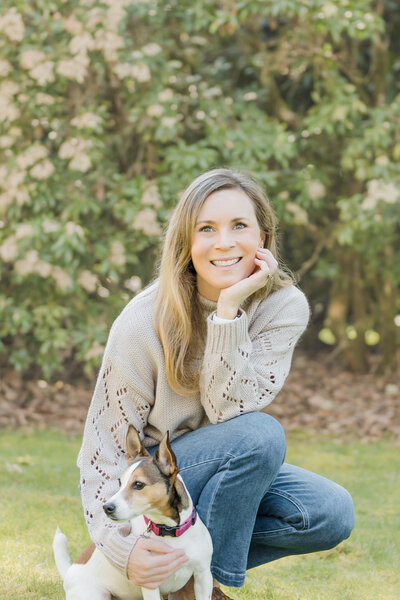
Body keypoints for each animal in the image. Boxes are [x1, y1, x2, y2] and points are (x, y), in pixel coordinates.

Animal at [55, 424, 216, 600]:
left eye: (138, 484)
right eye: (119, 482)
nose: (106, 507)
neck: (169, 531)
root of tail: (69, 573)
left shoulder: (203, 576)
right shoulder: (151, 583)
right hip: (95, 594)